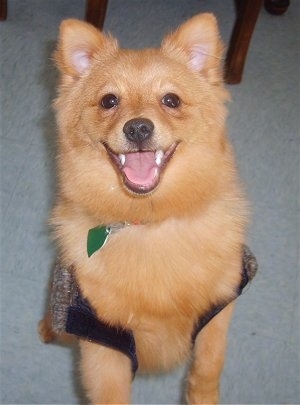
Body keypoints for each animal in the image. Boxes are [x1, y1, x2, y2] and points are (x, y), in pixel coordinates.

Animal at [40, 13, 251, 404]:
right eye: (109, 101)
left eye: (171, 99)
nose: (138, 128)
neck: (151, 220)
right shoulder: (102, 343)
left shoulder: (219, 307)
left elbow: (208, 365)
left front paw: (201, 395)